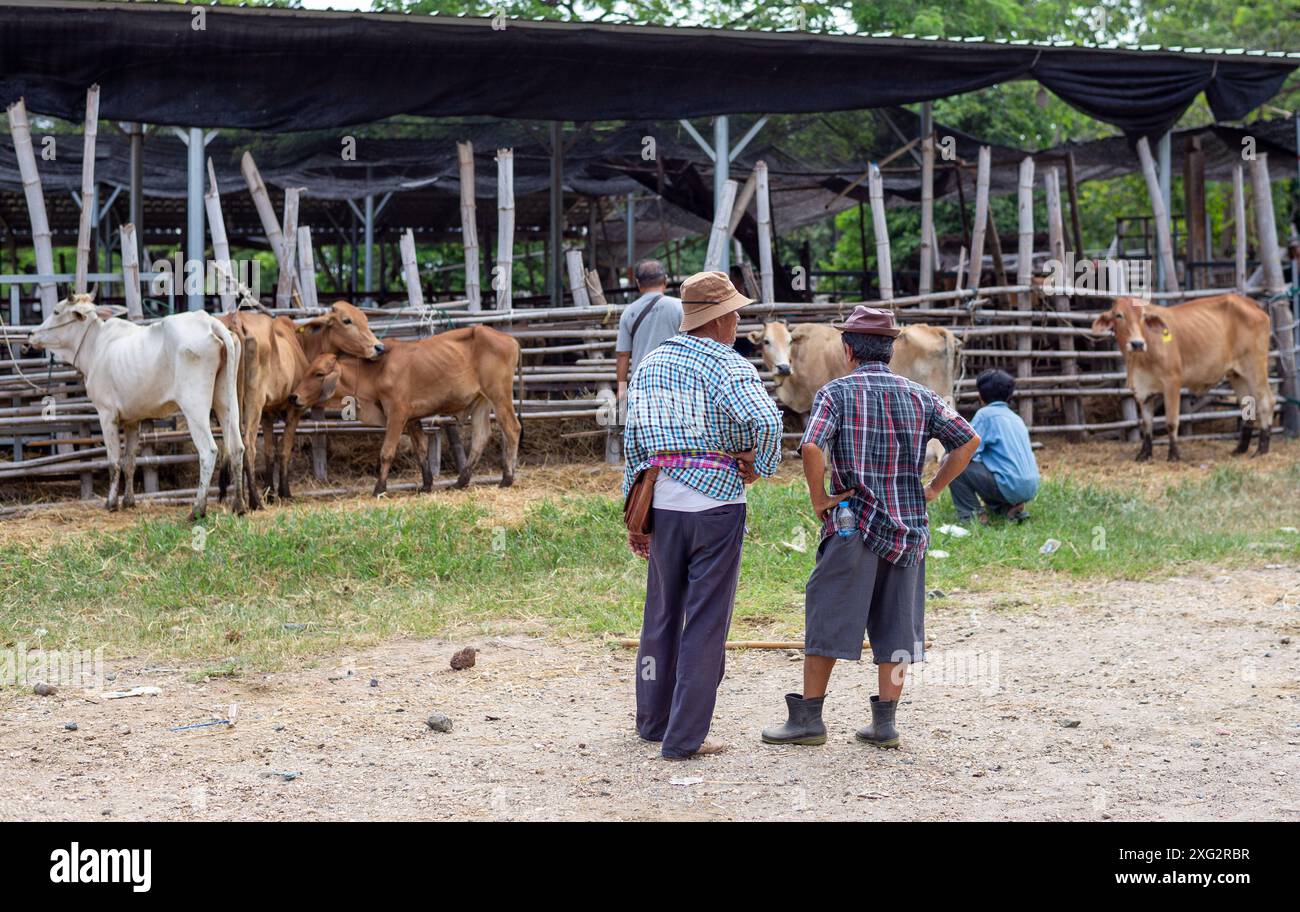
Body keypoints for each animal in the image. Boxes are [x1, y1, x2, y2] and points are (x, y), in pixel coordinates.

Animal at [27, 296, 245, 517]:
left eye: (56, 311)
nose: (31, 334)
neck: (95, 346)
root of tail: (210, 322)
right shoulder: (133, 420)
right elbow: (129, 461)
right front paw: (129, 501)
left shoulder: (106, 415)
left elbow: (114, 462)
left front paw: (111, 503)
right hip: (226, 401)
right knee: (237, 447)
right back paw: (239, 505)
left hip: (194, 406)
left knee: (208, 451)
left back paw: (197, 509)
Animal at [291, 324, 522, 496]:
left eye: (319, 374)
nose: (294, 397)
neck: (376, 372)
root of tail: (511, 339)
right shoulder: (412, 419)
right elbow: (421, 449)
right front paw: (426, 484)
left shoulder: (397, 413)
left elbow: (386, 452)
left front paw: (379, 488)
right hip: (481, 401)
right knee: (480, 437)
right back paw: (461, 481)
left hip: (499, 394)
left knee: (512, 428)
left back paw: (507, 478)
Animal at [1092, 294, 1274, 459]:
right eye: (1118, 315)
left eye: (1143, 316)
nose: (1137, 343)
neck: (1139, 359)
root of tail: (1249, 302)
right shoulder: (1144, 390)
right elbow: (1147, 423)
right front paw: (1144, 454)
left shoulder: (1172, 383)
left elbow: (1171, 422)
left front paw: (1173, 455)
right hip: (1237, 375)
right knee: (1247, 405)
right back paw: (1240, 449)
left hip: (1255, 367)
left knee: (1266, 401)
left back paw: (1262, 449)